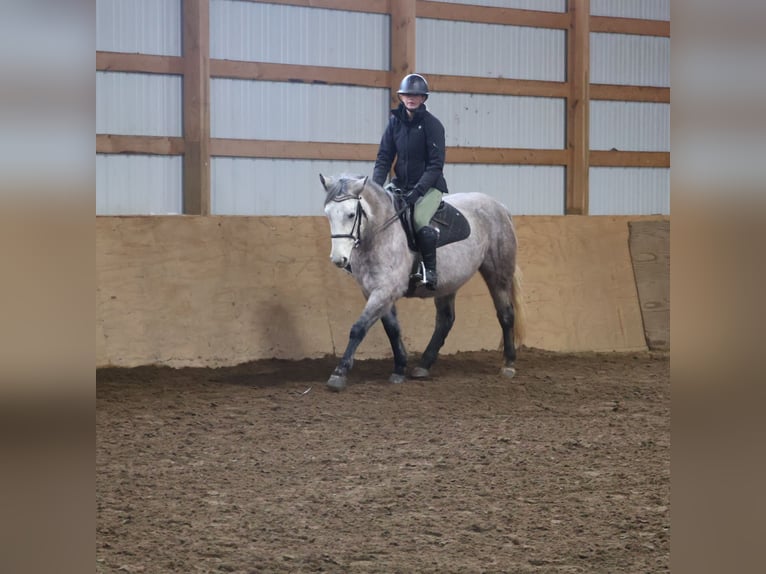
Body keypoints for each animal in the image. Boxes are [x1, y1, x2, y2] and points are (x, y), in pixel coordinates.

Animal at [319, 173, 525, 391]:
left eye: (351, 214)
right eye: (328, 214)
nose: (338, 259)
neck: (380, 233)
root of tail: (500, 207)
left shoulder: (385, 290)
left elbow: (358, 328)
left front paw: (339, 373)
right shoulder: (374, 291)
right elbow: (392, 329)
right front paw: (399, 368)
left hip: (498, 274)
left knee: (505, 314)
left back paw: (509, 364)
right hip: (448, 282)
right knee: (445, 320)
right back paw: (423, 365)